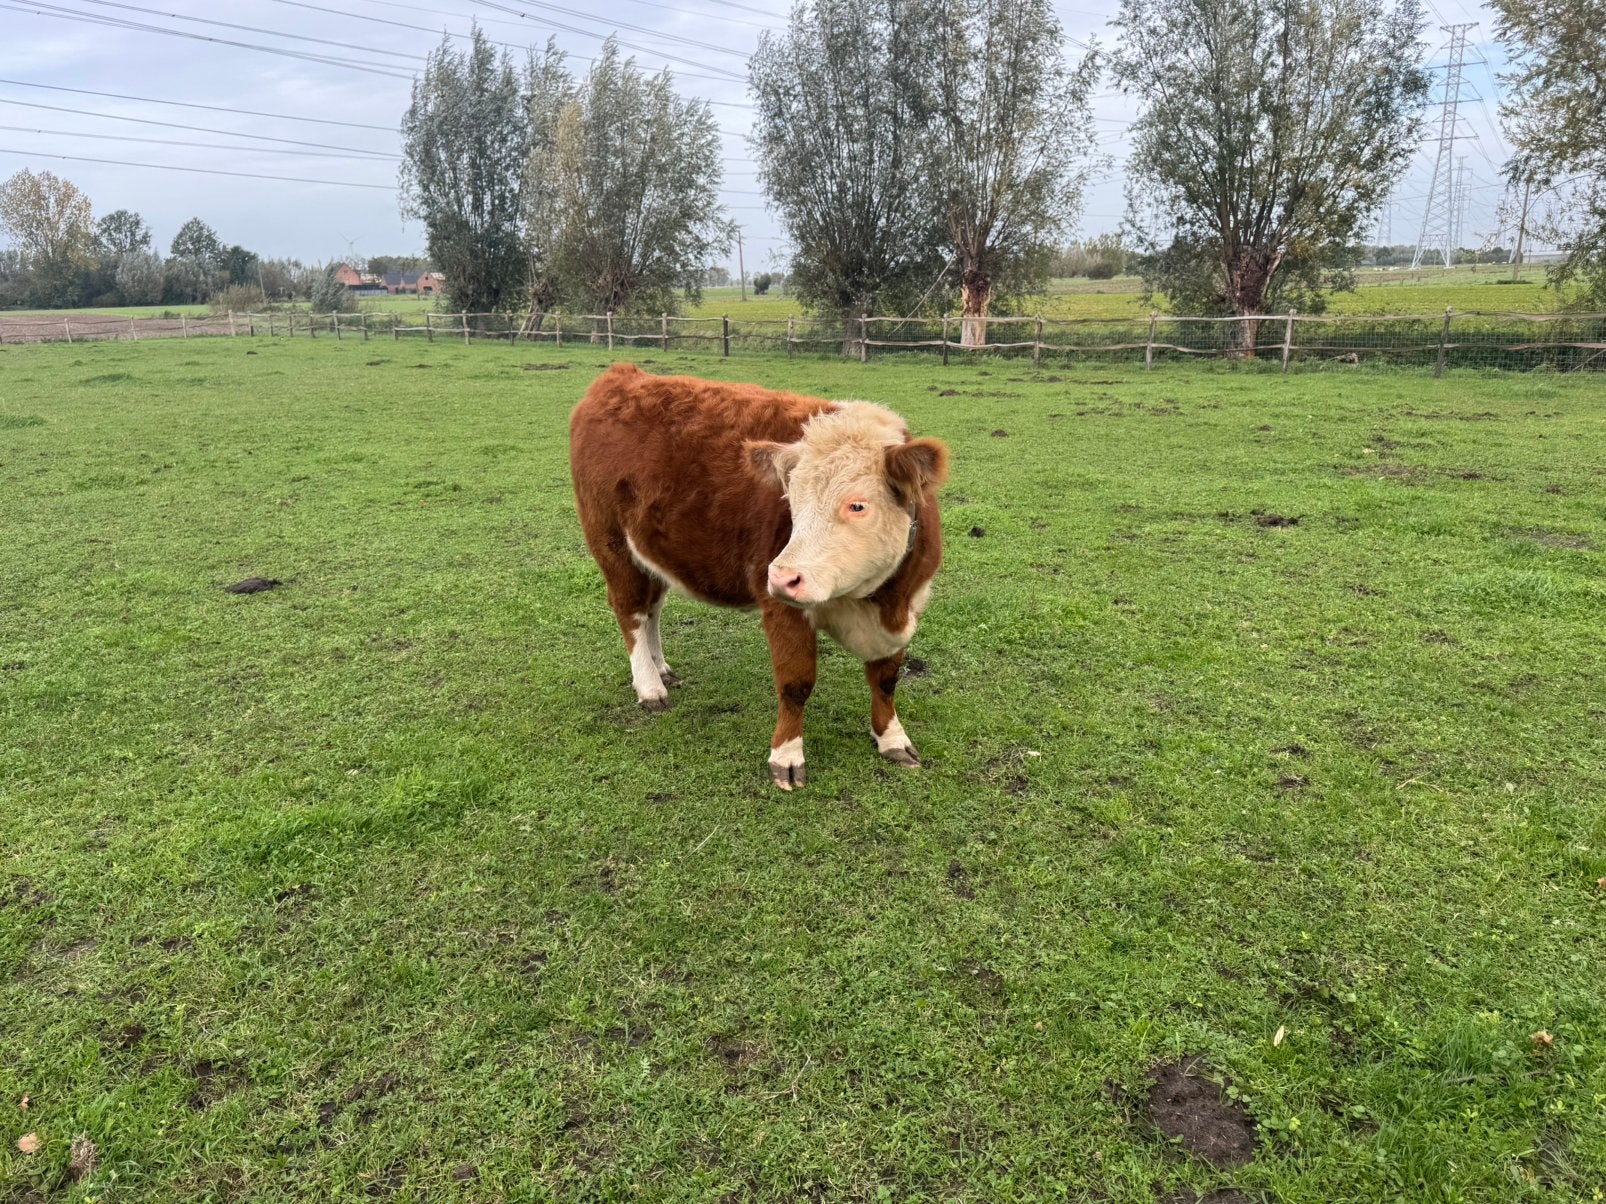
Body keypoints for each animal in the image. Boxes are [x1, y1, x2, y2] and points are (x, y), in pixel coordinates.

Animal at [569, 363, 949, 789]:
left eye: (857, 505)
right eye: (792, 501)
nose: (783, 577)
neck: (881, 602)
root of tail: (623, 375)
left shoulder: (909, 602)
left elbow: (885, 679)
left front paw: (892, 739)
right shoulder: (782, 608)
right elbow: (796, 684)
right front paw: (786, 757)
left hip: (651, 553)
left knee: (652, 610)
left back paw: (661, 668)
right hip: (613, 546)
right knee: (630, 611)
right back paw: (649, 686)